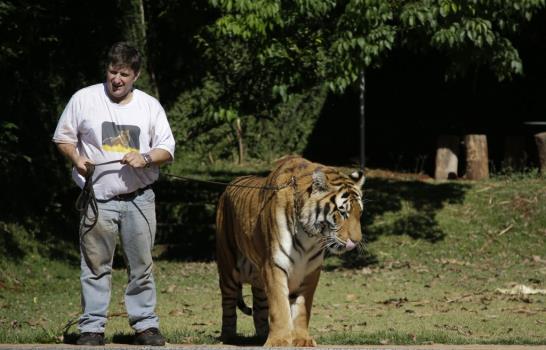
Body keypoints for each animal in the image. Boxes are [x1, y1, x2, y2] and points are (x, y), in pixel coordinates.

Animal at [215, 157, 364, 348]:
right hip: (228, 268)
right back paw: (228, 336)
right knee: (228, 304)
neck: (310, 237)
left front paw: (302, 339)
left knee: (260, 309)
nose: (356, 241)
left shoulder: (310, 271)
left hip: (258, 279)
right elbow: (279, 306)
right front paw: (279, 340)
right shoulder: (274, 266)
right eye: (342, 212)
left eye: (359, 213)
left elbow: (302, 308)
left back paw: (262, 335)